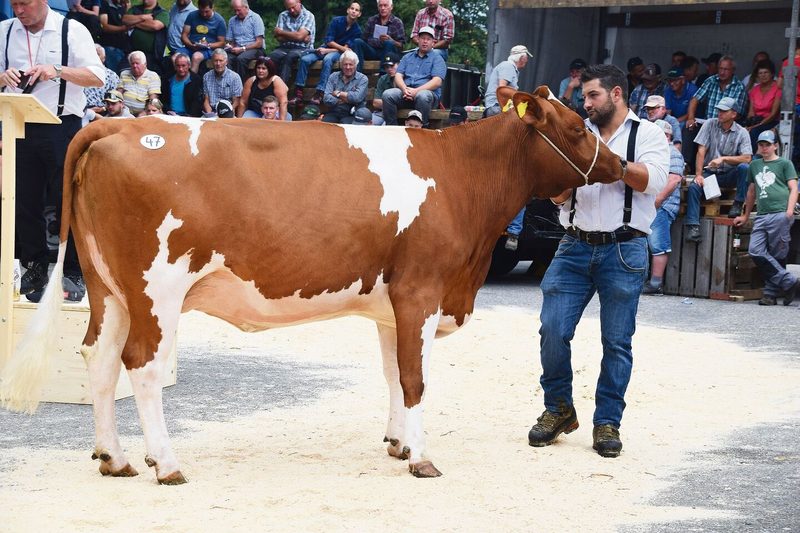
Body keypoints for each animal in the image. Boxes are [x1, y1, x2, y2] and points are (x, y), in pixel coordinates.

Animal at [1, 86, 624, 484]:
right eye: (577, 127)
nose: (621, 167)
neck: (459, 177)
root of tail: (121, 122)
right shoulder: (421, 291)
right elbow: (416, 378)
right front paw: (422, 458)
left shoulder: (392, 305)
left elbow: (393, 373)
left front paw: (398, 443)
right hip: (157, 288)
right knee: (143, 365)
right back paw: (167, 464)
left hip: (108, 289)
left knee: (99, 358)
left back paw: (114, 457)